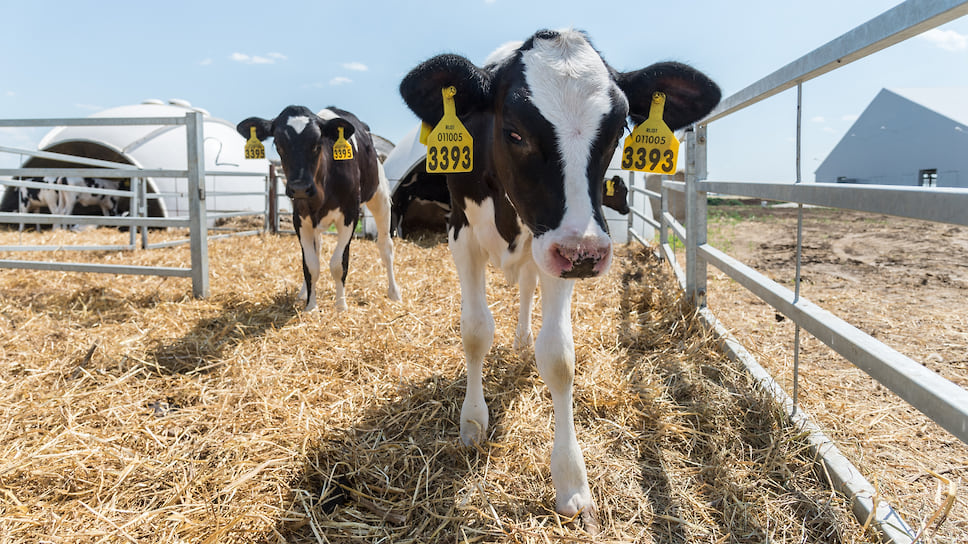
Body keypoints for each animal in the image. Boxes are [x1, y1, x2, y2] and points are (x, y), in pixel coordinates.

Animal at [238, 106, 400, 310]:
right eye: (278, 144)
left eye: (317, 144)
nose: (300, 187)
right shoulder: (300, 218)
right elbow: (310, 264)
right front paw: (311, 306)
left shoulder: (350, 215)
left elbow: (338, 264)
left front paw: (341, 307)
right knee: (317, 250)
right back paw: (303, 293)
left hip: (380, 195)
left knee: (386, 246)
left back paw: (394, 294)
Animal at [398, 27, 724, 528]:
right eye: (513, 131)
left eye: (616, 131)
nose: (585, 251)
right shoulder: (462, 233)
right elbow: (475, 331)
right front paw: (473, 421)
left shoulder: (562, 251)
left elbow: (558, 357)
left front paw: (571, 481)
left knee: (528, 287)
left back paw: (520, 340)